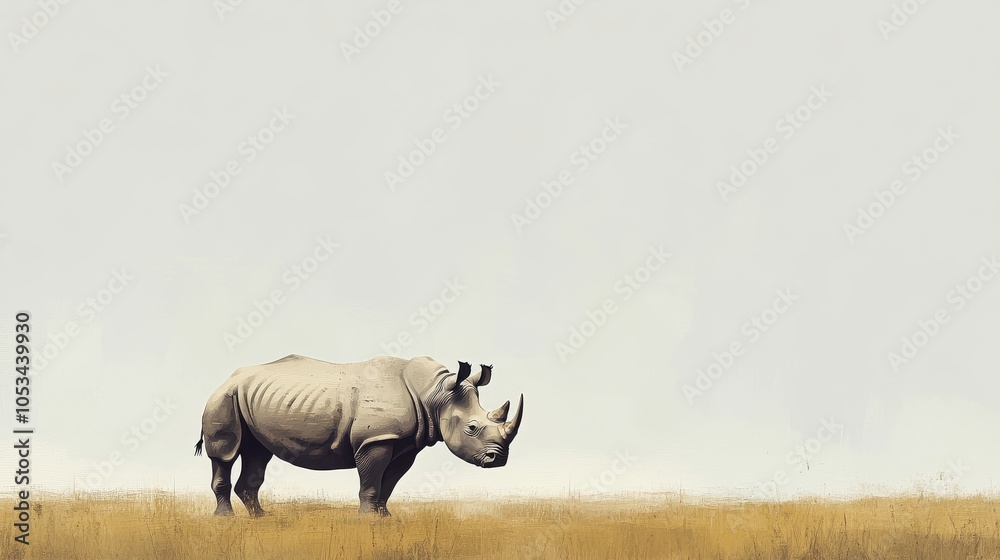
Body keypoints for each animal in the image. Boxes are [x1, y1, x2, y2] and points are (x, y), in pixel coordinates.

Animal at [194, 354, 523, 516]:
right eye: (472, 428)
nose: (498, 459)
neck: (435, 394)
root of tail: (229, 378)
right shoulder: (375, 439)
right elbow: (371, 482)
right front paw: (367, 520)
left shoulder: (405, 444)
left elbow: (388, 483)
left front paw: (384, 518)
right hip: (223, 398)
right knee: (225, 454)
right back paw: (225, 519)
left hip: (250, 399)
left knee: (257, 454)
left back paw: (262, 520)